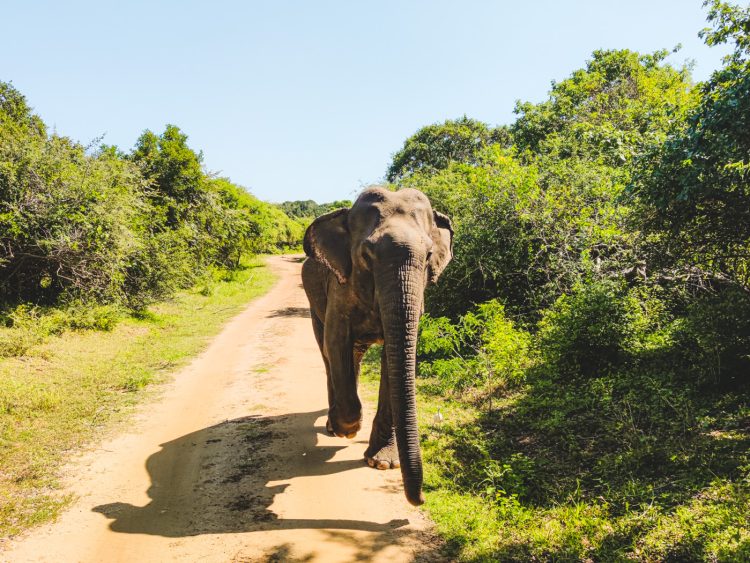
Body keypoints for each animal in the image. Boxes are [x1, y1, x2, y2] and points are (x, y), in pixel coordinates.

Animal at [302, 186, 456, 506]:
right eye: (367, 254)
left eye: (429, 256)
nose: (423, 498)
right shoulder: (339, 284)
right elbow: (335, 342)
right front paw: (348, 430)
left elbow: (395, 355)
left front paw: (382, 462)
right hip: (313, 300)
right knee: (327, 354)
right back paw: (333, 428)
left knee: (355, 357)